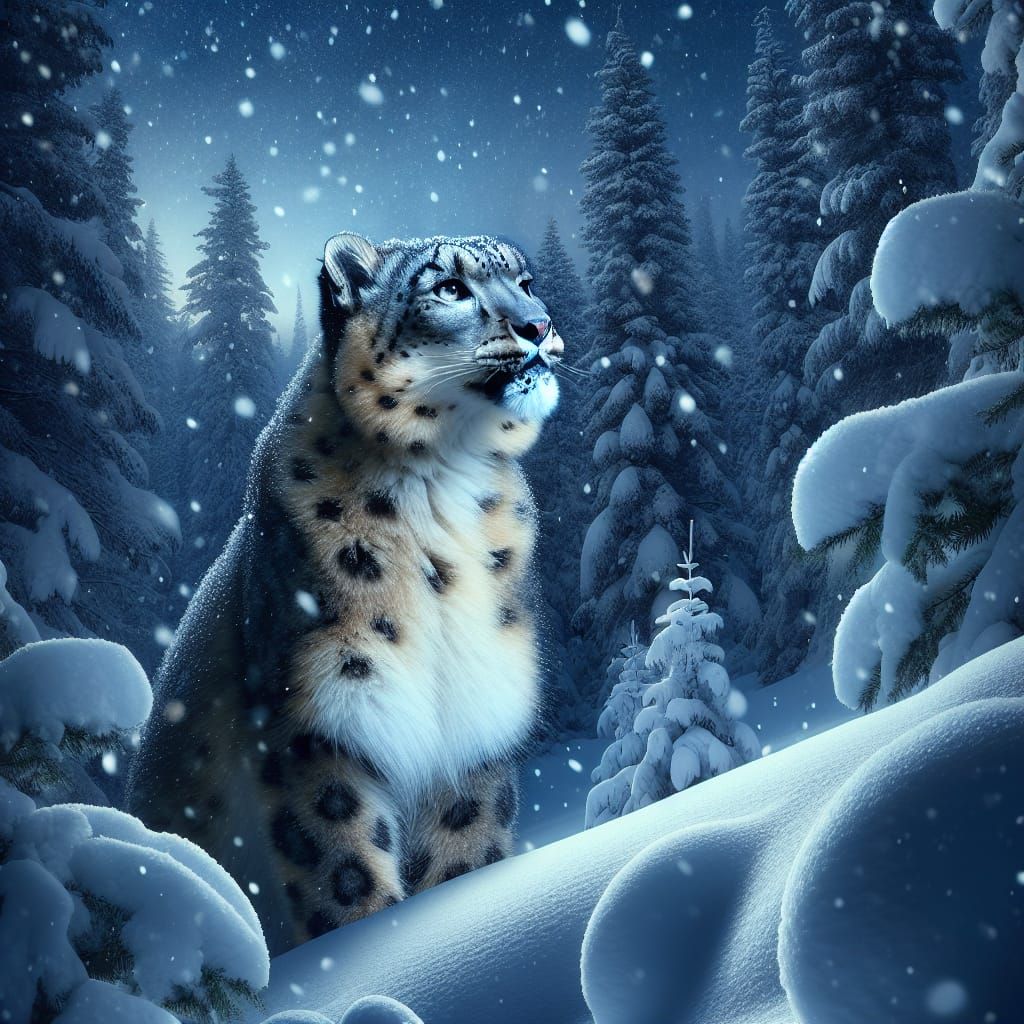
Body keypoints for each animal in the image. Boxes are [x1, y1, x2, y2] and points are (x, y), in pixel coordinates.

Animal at [127, 231, 565, 954]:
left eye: (527, 282)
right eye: (449, 288)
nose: (539, 324)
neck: (441, 488)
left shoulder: (474, 723)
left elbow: (464, 852)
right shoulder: (320, 722)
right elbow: (344, 873)